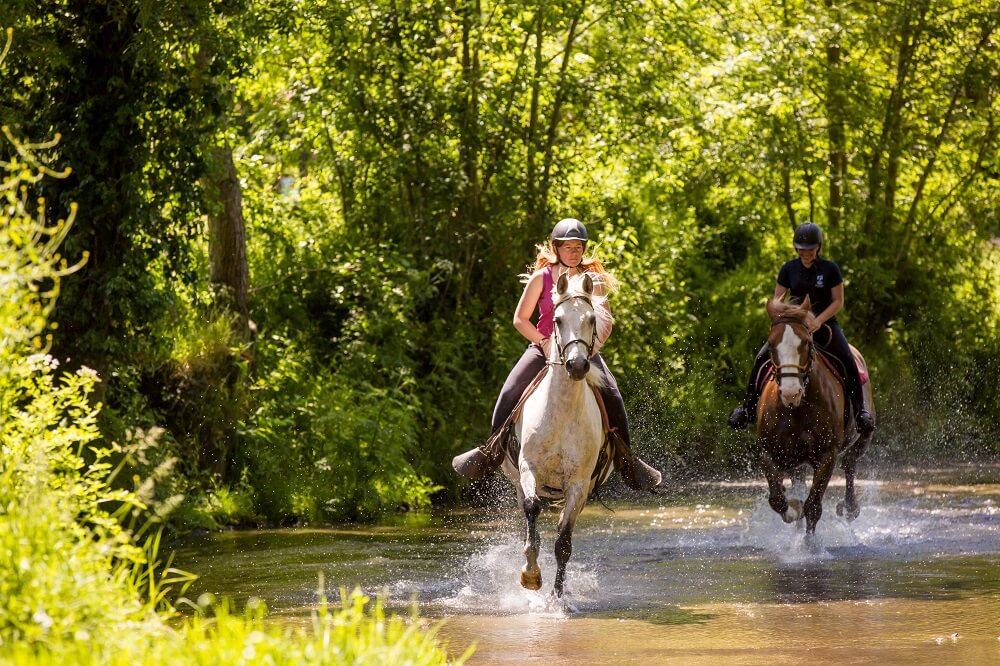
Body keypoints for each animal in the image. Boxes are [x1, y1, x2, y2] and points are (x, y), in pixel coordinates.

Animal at [500, 270, 608, 596]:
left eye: (591, 318)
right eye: (557, 320)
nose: (577, 365)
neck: (561, 412)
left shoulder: (578, 484)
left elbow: (563, 541)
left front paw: (556, 597)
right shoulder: (528, 468)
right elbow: (533, 509)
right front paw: (531, 575)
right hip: (518, 481)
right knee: (529, 514)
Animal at [756, 298, 876, 532]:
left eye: (807, 343)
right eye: (771, 344)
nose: (791, 393)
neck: (796, 409)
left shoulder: (827, 455)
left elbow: (813, 508)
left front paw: (808, 541)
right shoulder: (769, 452)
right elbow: (777, 500)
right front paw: (793, 508)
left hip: (863, 437)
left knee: (850, 463)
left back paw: (850, 507)